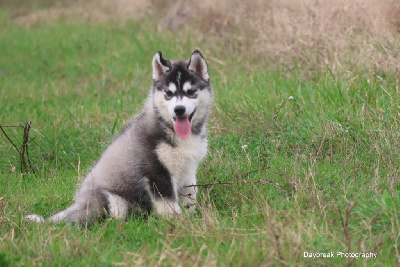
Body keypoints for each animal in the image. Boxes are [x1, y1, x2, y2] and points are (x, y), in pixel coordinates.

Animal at [27, 50, 212, 224]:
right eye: (169, 93)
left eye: (190, 92)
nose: (179, 110)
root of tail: (77, 204)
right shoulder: (156, 173)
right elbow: (169, 206)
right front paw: (177, 224)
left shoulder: (188, 170)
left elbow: (190, 197)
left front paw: (192, 219)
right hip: (113, 202)